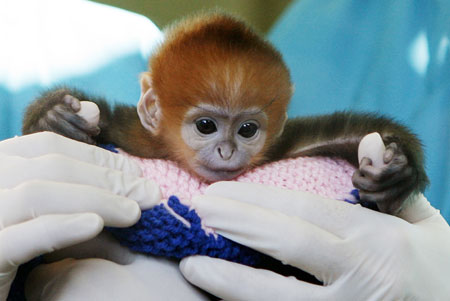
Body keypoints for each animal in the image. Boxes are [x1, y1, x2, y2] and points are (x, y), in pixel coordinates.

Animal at [22, 11, 428, 213]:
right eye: (206, 126)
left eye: (247, 130)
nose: (227, 151)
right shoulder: (135, 134)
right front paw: (53, 116)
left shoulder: (283, 146)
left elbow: (336, 132)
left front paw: (398, 172)